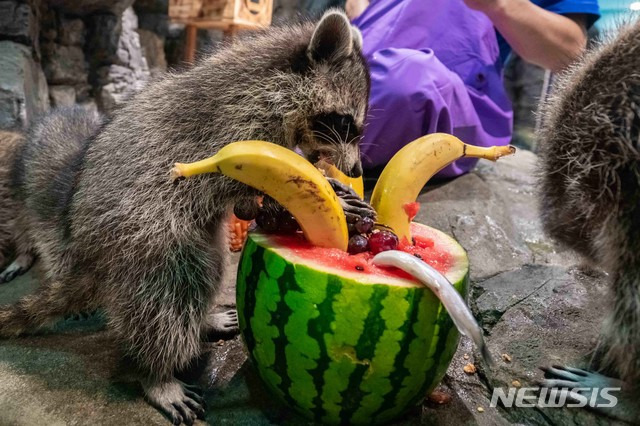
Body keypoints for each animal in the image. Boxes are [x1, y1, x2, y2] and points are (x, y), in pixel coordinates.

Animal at [0, 10, 370, 426]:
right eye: (346, 124)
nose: (356, 169)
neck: (279, 86)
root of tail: (88, 252)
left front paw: (326, 186)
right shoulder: (235, 123)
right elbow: (233, 189)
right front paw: (292, 200)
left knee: (209, 266)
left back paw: (203, 319)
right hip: (144, 233)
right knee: (172, 293)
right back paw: (156, 372)